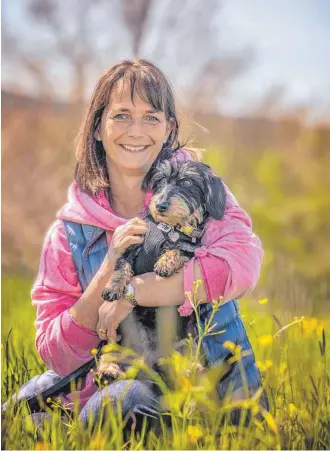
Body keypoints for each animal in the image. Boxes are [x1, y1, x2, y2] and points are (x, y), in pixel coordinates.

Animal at [95, 159, 227, 384]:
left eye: (187, 182)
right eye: (161, 180)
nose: (160, 205)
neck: (169, 229)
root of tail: (148, 362)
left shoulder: (190, 250)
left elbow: (178, 250)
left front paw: (165, 263)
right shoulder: (130, 246)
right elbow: (121, 268)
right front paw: (112, 289)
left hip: (188, 341)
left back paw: (191, 368)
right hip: (115, 339)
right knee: (109, 354)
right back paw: (109, 371)